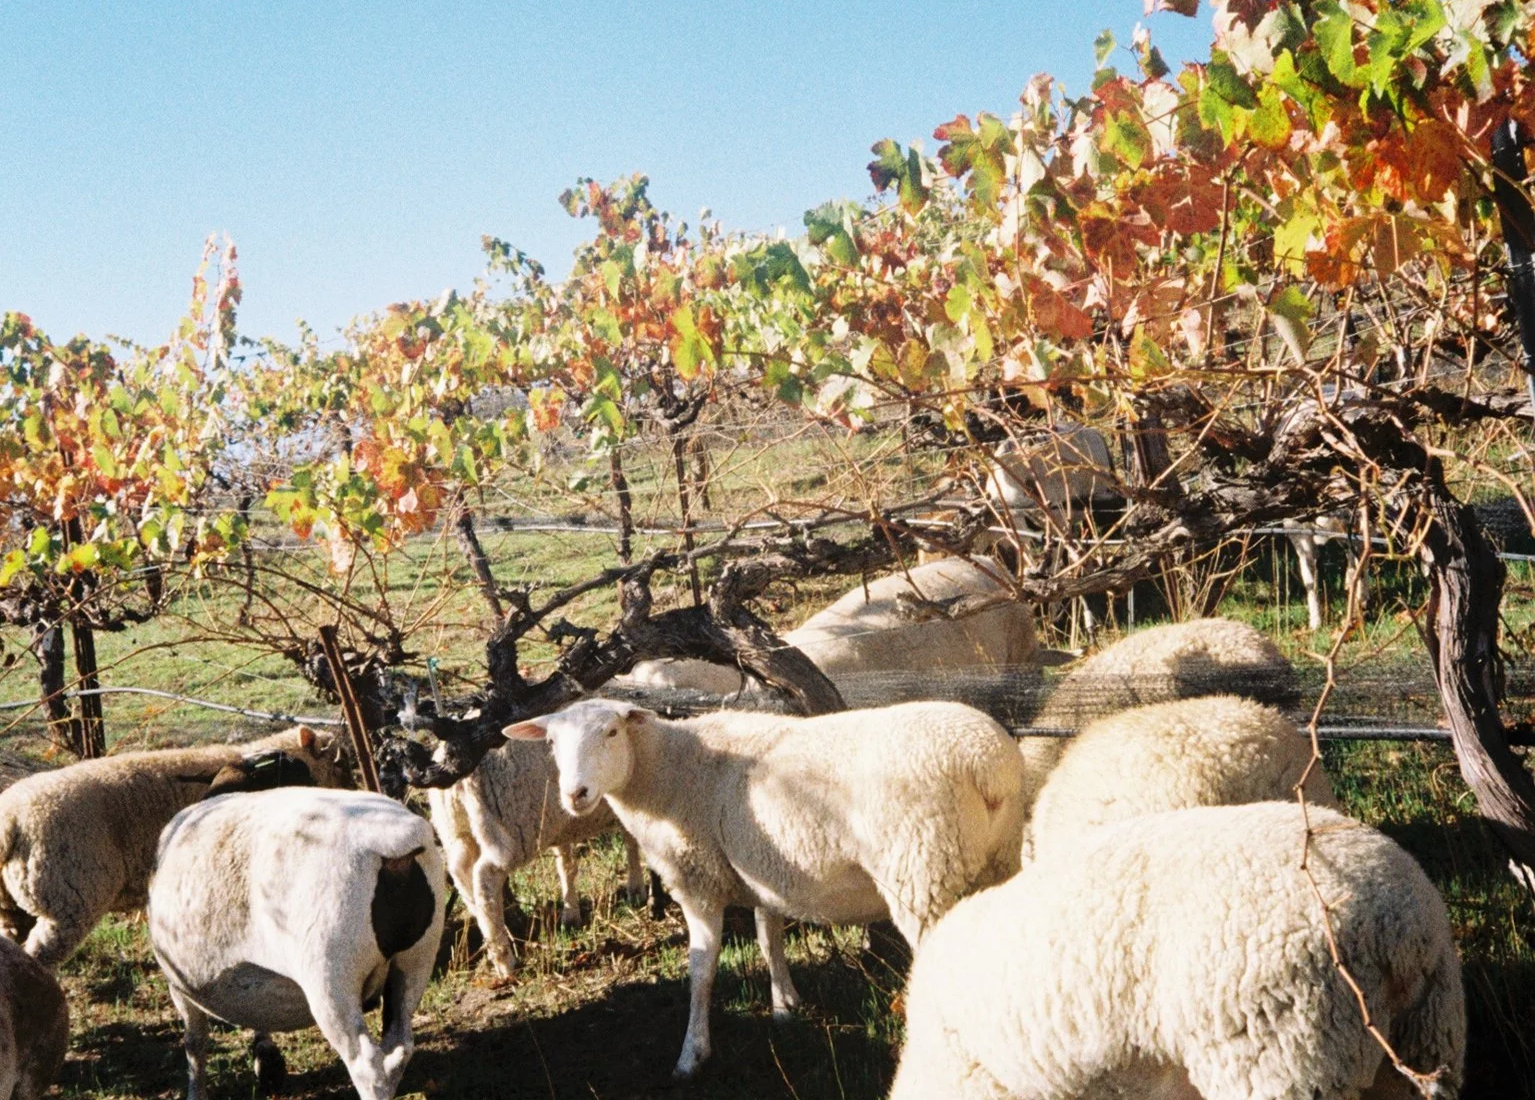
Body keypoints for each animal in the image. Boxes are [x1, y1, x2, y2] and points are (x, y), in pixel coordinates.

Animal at [148, 788, 445, 1100]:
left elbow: (195, 1044)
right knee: (399, 1047)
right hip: (415, 961)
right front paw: (267, 1063)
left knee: (366, 1064)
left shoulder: (179, 986)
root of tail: (395, 849)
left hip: (330, 974)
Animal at [426, 739, 646, 978]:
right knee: (485, 879)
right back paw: (505, 961)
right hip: (513, 829)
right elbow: (633, 839)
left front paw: (571, 915)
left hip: (455, 831)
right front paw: (638, 890)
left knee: (461, 873)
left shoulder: (562, 827)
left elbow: (566, 864)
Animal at [503, 697, 1027, 1079]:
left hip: (922, 872)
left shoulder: (698, 879)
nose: (575, 795)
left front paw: (692, 1054)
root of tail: (989, 765)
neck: (667, 773)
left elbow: (702, 968)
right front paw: (784, 1007)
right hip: (995, 862)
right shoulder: (762, 871)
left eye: (611, 732)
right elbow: (767, 935)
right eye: (551, 742)